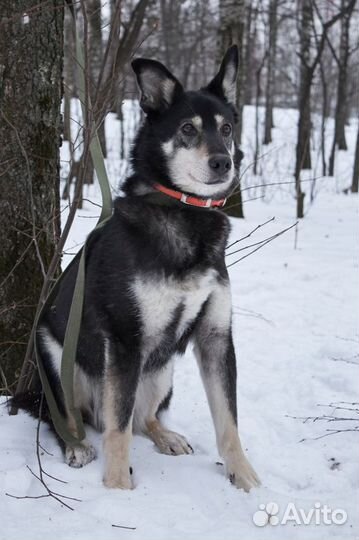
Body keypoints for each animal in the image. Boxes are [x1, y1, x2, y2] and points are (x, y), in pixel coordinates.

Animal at [17, 45, 258, 494]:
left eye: (228, 128)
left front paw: (245, 477)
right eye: (187, 129)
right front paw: (117, 489)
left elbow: (229, 422)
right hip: (58, 360)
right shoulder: (126, 340)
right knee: (71, 419)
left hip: (160, 371)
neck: (185, 213)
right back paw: (77, 446)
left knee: (144, 418)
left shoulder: (216, 336)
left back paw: (166, 436)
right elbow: (118, 430)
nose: (223, 163)